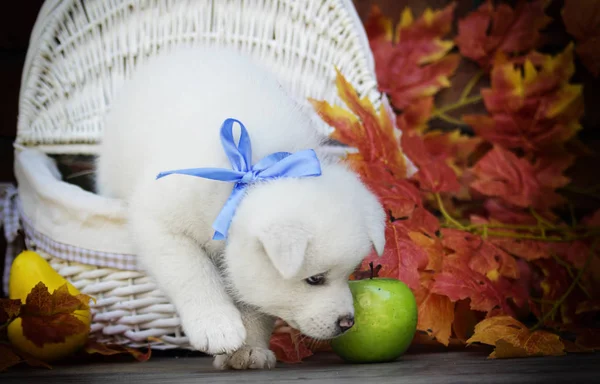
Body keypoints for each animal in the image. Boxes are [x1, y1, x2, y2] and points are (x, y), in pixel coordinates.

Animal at [94, 45, 384, 368]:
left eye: (350, 273)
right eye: (315, 279)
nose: (347, 322)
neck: (249, 174)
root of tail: (184, 50)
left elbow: (254, 301)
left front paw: (249, 348)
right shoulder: (160, 223)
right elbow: (192, 272)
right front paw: (215, 325)